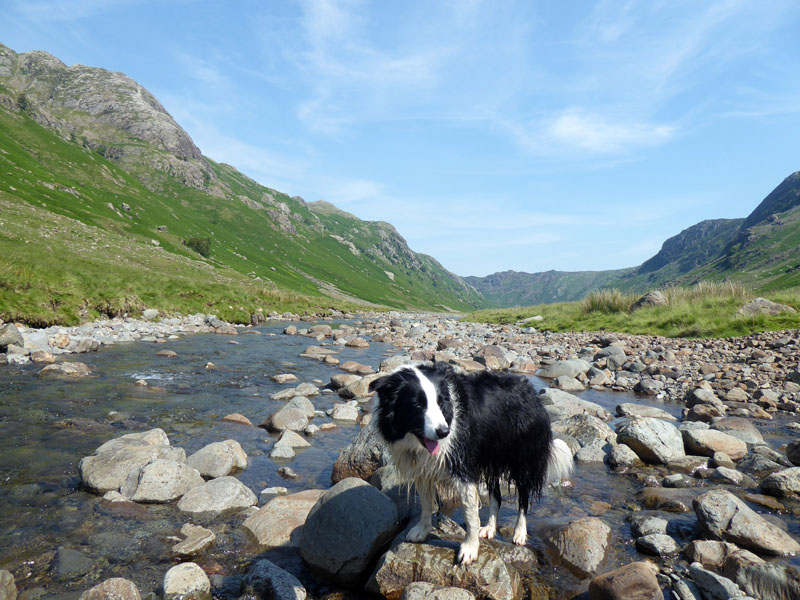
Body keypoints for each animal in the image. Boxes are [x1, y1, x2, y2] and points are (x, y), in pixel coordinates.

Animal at [372, 364, 572, 564]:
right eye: (417, 405)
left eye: (440, 403)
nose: (444, 432)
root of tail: (531, 392)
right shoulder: (423, 468)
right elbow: (426, 503)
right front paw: (421, 530)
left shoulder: (463, 466)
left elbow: (470, 514)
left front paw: (469, 549)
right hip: (490, 457)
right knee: (496, 496)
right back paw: (490, 528)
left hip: (522, 458)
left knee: (523, 498)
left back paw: (519, 533)